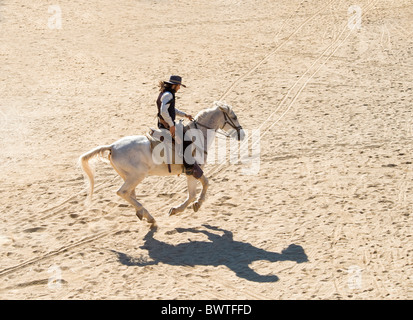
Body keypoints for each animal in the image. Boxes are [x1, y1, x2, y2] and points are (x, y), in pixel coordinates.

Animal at [79, 102, 243, 225]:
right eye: (234, 117)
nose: (242, 134)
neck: (197, 137)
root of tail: (112, 146)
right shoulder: (194, 171)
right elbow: (199, 189)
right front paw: (193, 205)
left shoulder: (191, 173)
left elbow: (196, 190)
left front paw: (183, 208)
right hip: (137, 176)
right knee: (123, 192)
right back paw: (148, 216)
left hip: (128, 177)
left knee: (130, 193)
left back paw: (143, 214)